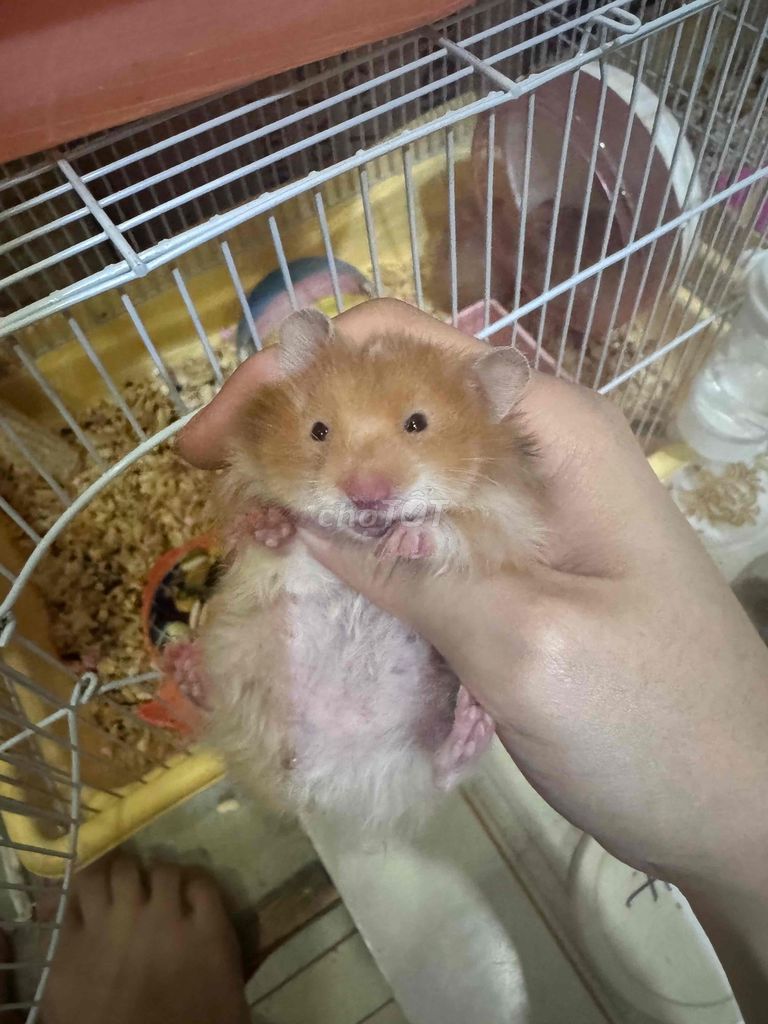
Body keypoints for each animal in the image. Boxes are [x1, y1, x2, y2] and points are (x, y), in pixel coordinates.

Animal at [190, 308, 544, 831]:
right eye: (318, 430)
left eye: (417, 423)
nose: (365, 495)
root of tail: (332, 788)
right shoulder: (245, 484)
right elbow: (265, 531)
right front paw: (269, 523)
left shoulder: (509, 519)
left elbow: (455, 529)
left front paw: (405, 541)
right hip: (244, 664)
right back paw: (184, 668)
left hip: (414, 747)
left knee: (440, 772)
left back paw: (469, 728)